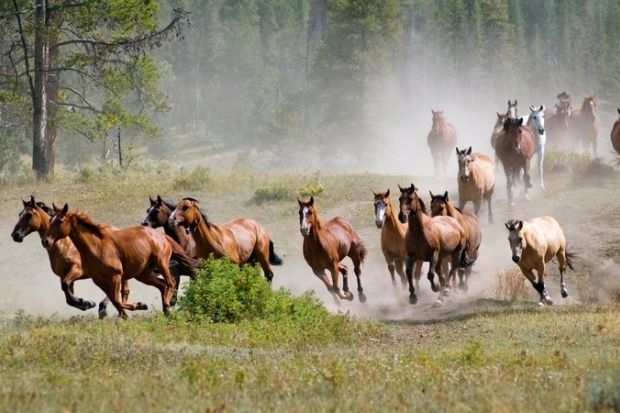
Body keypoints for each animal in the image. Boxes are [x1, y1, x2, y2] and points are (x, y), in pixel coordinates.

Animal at [42, 204, 196, 318]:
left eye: (60, 221)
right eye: (50, 220)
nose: (45, 241)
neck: (97, 246)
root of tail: (161, 236)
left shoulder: (115, 276)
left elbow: (117, 299)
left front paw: (139, 306)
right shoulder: (99, 280)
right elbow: (115, 301)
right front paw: (128, 314)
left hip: (161, 263)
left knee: (171, 282)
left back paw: (167, 305)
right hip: (143, 275)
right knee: (162, 285)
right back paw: (166, 310)